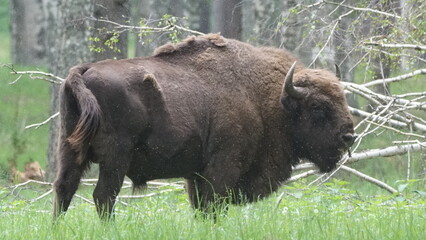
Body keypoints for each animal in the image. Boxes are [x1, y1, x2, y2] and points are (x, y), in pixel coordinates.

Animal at [53, 33, 356, 219]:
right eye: (318, 107)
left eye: (342, 98)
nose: (348, 136)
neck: (267, 99)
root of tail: (83, 72)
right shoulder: (223, 166)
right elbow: (213, 205)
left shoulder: (196, 174)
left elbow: (200, 206)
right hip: (115, 158)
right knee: (103, 196)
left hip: (69, 149)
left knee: (64, 189)